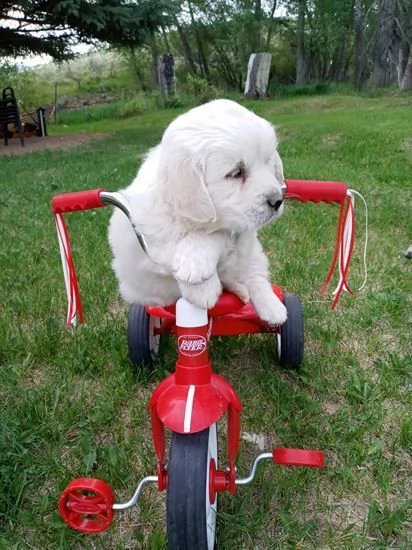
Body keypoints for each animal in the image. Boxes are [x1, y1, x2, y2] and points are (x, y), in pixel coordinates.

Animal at [111, 98, 288, 328]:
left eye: (268, 162)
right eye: (236, 173)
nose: (277, 200)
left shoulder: (238, 235)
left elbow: (218, 235)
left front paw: (197, 268)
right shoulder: (142, 246)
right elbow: (170, 253)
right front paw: (202, 286)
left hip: (253, 254)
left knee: (255, 272)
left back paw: (272, 307)